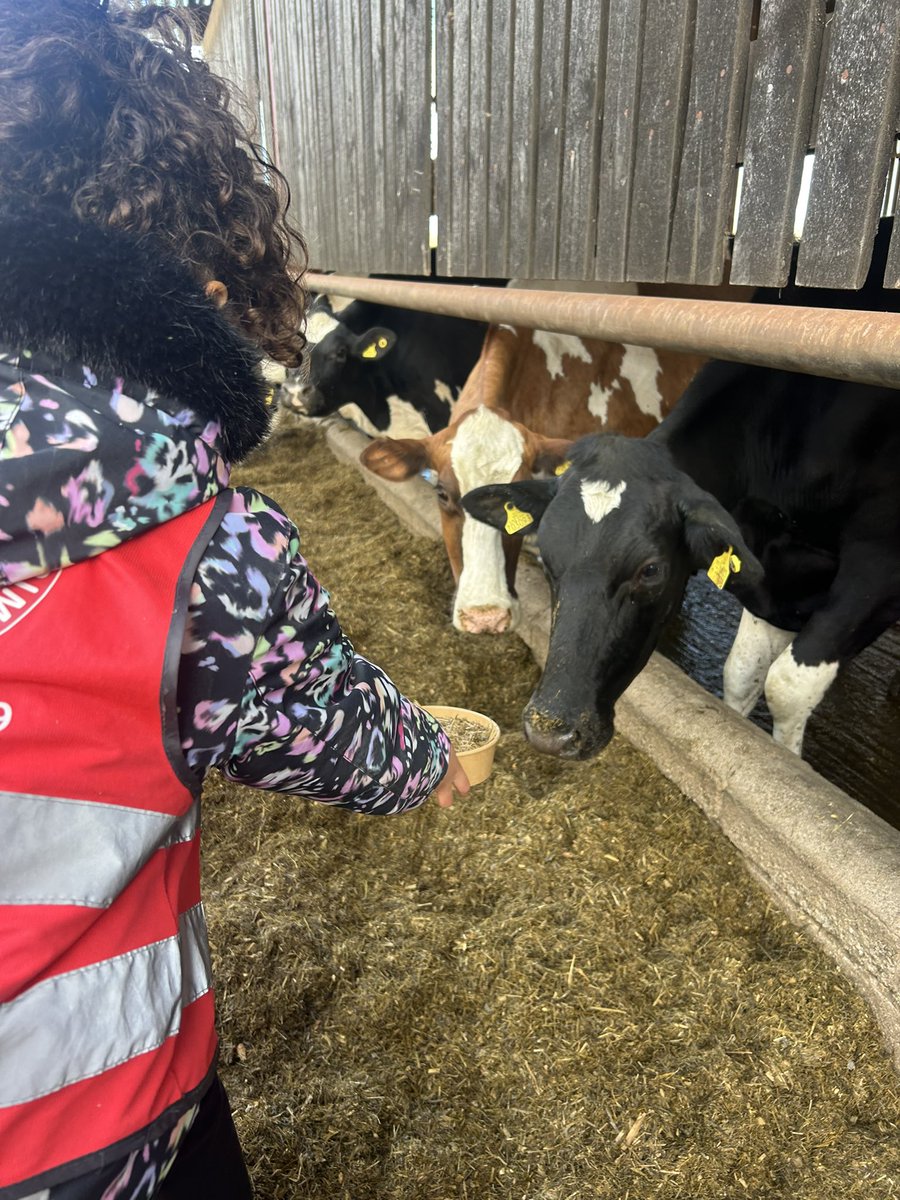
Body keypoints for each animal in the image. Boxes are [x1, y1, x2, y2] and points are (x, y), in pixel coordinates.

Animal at [461, 356, 900, 760]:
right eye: (547, 560)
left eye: (651, 570)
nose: (550, 733)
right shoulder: (775, 574)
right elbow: (742, 670)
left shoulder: (878, 561)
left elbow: (787, 686)